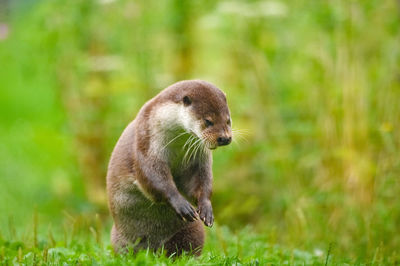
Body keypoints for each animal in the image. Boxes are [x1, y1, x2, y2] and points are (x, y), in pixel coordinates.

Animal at [107, 79, 231, 256]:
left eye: (228, 120)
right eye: (208, 121)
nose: (225, 138)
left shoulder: (199, 158)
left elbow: (202, 181)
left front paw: (206, 208)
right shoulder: (146, 142)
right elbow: (153, 177)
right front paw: (181, 204)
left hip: (192, 229)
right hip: (118, 239)